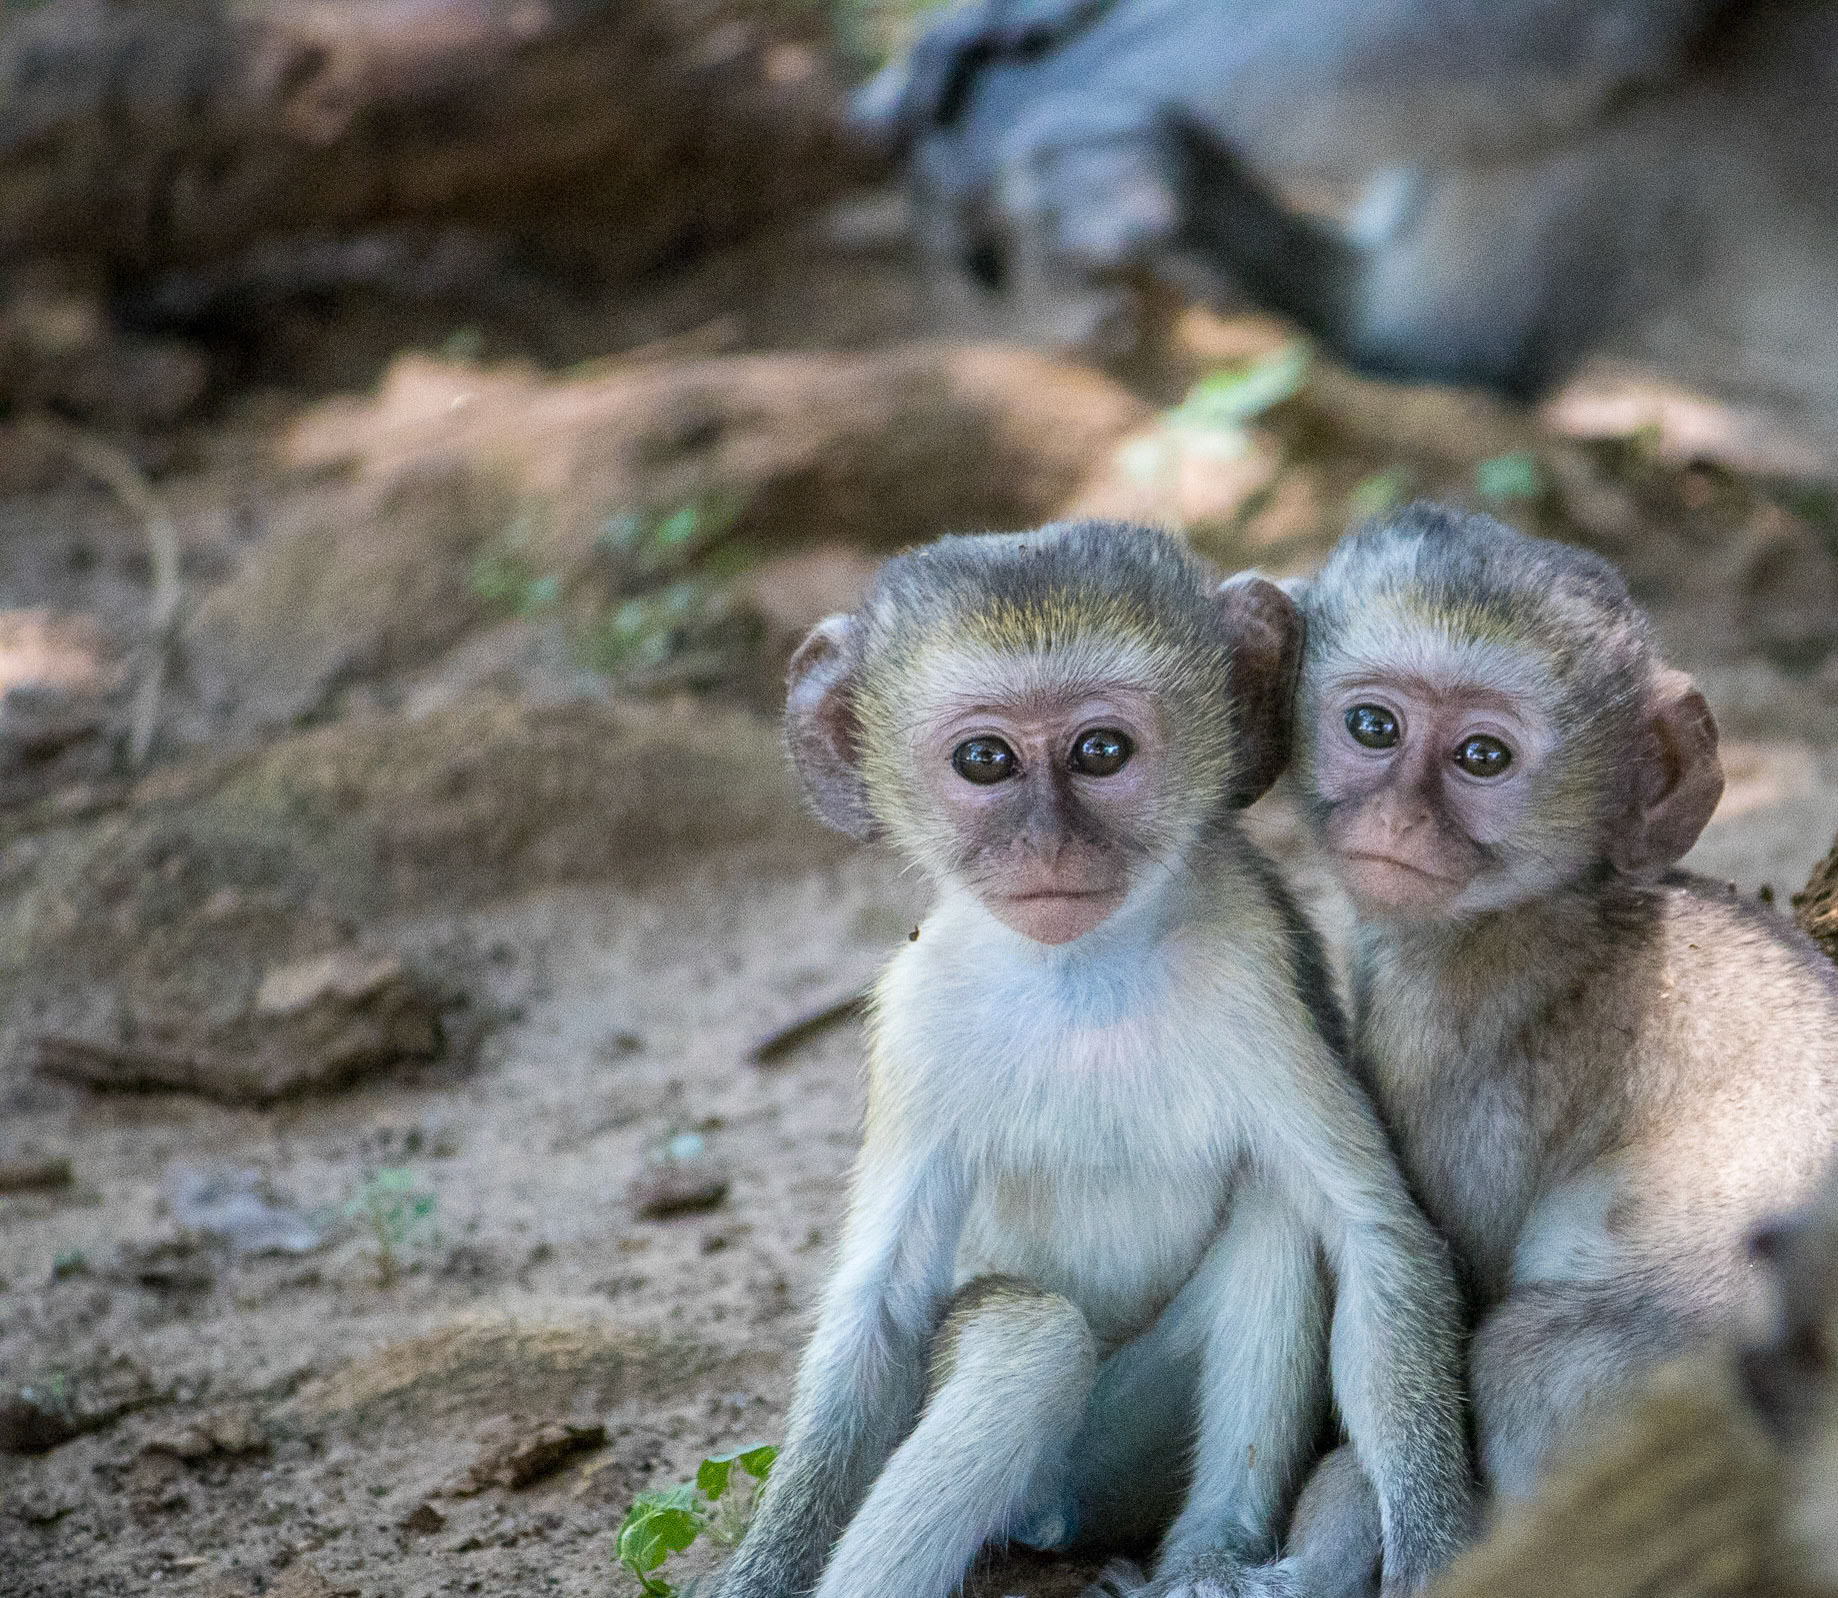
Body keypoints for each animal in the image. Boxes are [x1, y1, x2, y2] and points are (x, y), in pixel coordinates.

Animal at [715, 520, 1473, 1598]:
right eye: (985, 759)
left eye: (1101, 751)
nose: (1049, 847)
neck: (1081, 972)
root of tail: (1054, 1517)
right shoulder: (913, 1016)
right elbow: (879, 1314)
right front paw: (756, 1572)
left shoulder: (1251, 965)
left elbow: (1373, 1236)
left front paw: (1440, 1552)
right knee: (1022, 1337)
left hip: (1118, 1464)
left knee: (1276, 1213)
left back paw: (1208, 1557)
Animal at [1275, 501, 1838, 1590]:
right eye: (1373, 727)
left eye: (1481, 758)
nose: (1396, 816)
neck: (1550, 901)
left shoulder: (1445, 1020)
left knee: (1521, 1361)